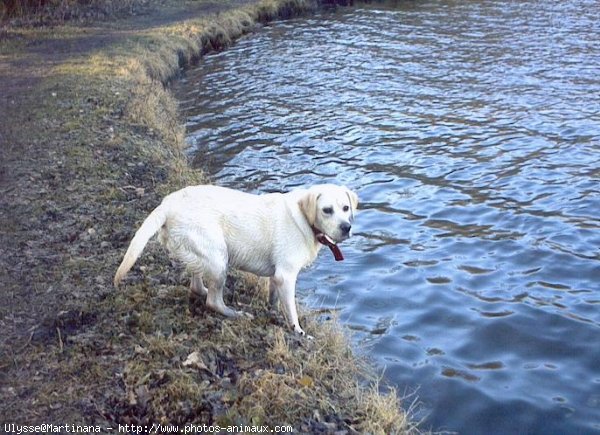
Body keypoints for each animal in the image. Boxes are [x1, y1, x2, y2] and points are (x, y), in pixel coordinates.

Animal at [115, 184, 358, 338]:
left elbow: (274, 299)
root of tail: (167, 204)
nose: (346, 227)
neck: (305, 219)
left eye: (346, 208)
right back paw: (236, 314)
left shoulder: (276, 277)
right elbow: (291, 310)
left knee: (196, 286)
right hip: (217, 257)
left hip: (201, 253)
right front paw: (297, 331)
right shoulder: (286, 275)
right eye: (327, 210)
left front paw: (272, 312)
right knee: (213, 301)